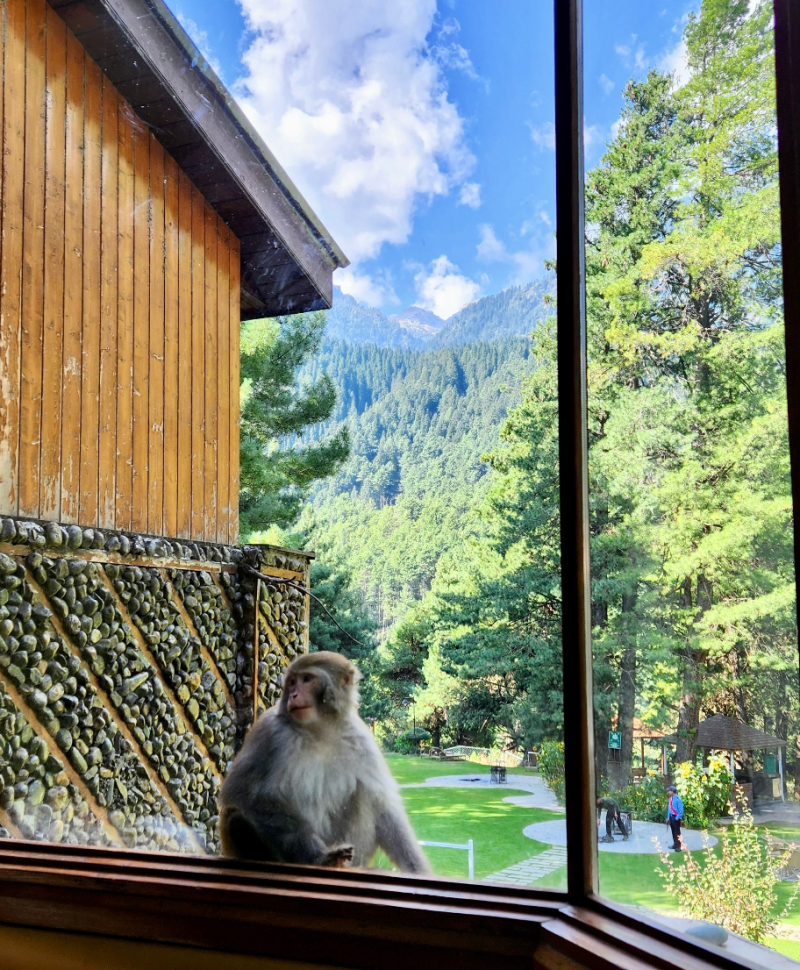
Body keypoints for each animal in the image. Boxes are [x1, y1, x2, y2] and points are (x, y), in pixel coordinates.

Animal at [218, 651, 430, 874]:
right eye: (292, 682)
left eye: (307, 679)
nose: (293, 695)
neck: (319, 730)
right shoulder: (270, 733)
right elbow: (245, 793)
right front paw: (319, 857)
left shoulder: (361, 740)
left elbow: (383, 806)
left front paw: (418, 869)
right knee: (236, 816)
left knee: (363, 794)